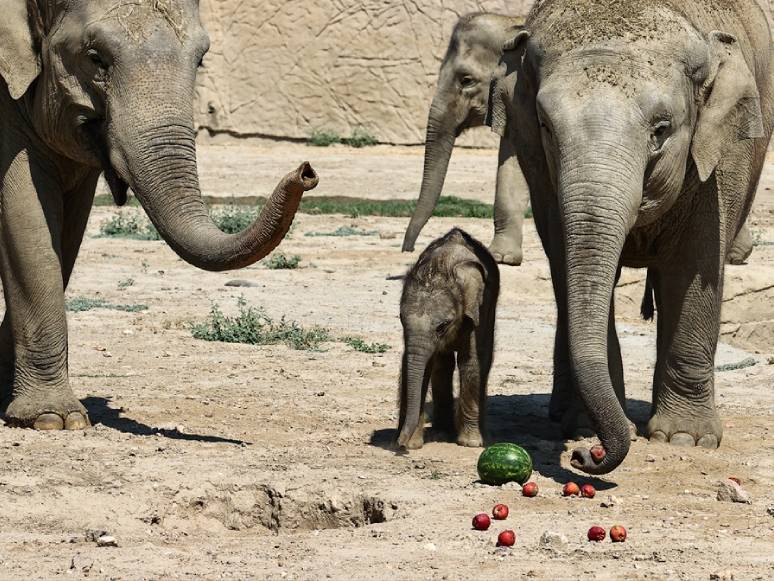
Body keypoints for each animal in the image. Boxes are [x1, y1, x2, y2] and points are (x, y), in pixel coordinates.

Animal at [0, 0, 318, 426]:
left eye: (201, 59)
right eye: (95, 57)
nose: (306, 171)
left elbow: (65, 233)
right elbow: (27, 218)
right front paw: (52, 419)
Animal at [398, 227, 500, 448]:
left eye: (443, 326)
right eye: (400, 318)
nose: (401, 443)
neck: (440, 266)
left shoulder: (477, 309)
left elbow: (471, 361)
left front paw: (470, 443)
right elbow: (419, 364)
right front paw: (410, 442)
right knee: (442, 365)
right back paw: (441, 433)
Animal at [492, 0, 774, 474]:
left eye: (661, 129)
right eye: (546, 126)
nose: (586, 457)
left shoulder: (723, 155)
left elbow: (694, 266)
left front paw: (685, 439)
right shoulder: (539, 168)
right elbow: (567, 260)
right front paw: (586, 428)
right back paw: (563, 414)